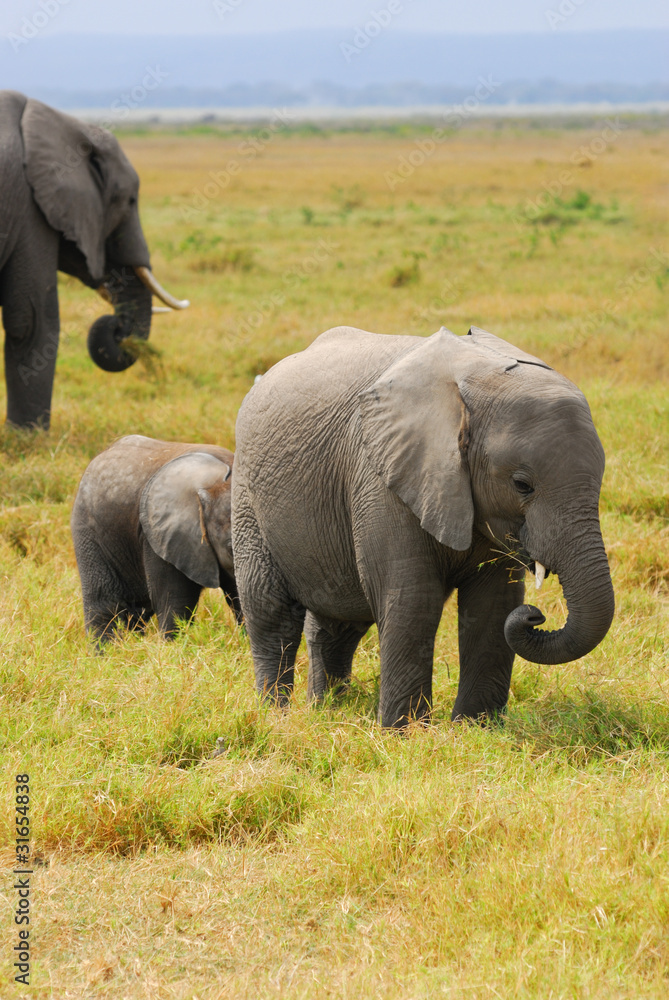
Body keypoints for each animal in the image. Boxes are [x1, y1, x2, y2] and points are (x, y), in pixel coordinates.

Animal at [70, 436, 241, 640]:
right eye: (230, 549)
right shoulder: (158, 537)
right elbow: (174, 601)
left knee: (137, 613)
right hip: (88, 531)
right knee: (104, 606)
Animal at [232, 328, 612, 728]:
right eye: (522, 485)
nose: (535, 616)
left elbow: (494, 603)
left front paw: (475, 728)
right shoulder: (382, 477)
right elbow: (413, 598)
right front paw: (406, 732)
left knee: (339, 623)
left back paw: (328, 708)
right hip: (248, 496)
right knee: (271, 612)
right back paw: (275, 713)